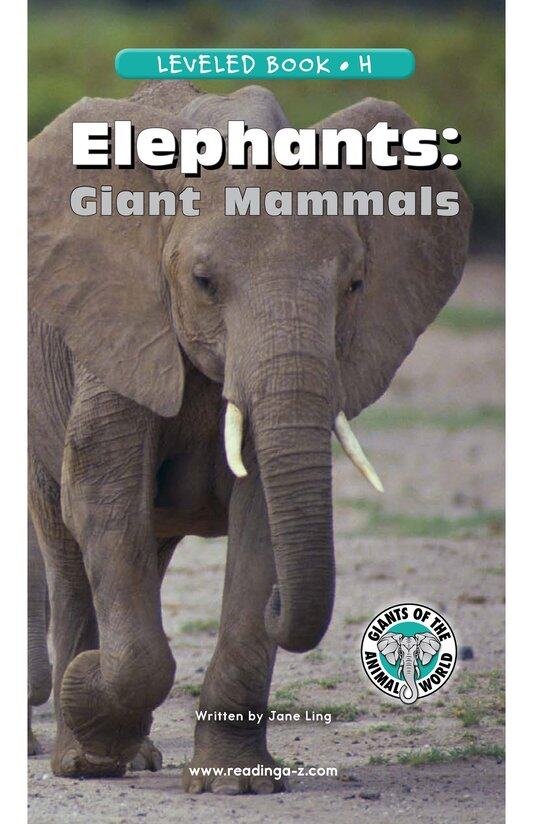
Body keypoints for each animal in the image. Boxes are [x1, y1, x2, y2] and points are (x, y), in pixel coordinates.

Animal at [28, 79, 471, 793]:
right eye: (204, 283)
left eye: (355, 285)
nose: (281, 606)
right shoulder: (120, 328)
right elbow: (102, 495)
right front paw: (88, 702)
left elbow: (262, 515)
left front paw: (235, 784)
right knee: (70, 551)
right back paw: (85, 756)